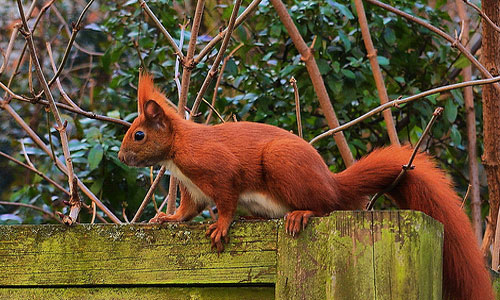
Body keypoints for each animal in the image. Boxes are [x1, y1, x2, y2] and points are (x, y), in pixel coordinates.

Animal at [119, 73, 494, 300]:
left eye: (139, 135)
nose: (122, 156)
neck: (178, 151)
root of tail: (332, 183)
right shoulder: (192, 189)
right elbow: (187, 211)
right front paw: (165, 218)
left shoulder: (218, 168)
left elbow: (226, 197)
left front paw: (222, 225)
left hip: (284, 165)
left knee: (326, 206)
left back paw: (302, 213)